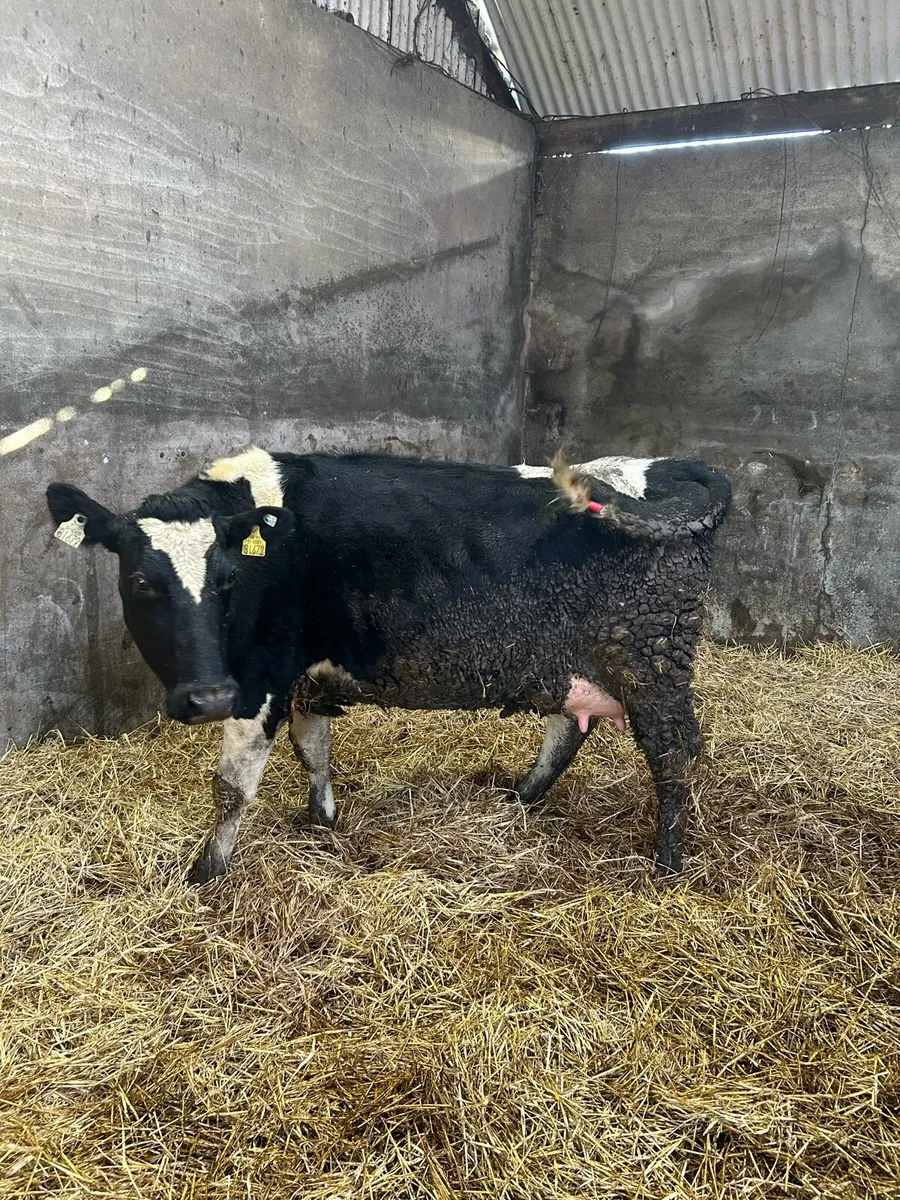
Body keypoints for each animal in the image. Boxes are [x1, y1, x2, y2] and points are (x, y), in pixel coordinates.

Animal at [46, 446, 731, 884]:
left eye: (228, 579)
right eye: (140, 582)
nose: (208, 697)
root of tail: (668, 465)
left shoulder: (262, 676)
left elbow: (231, 785)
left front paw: (205, 873)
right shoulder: (305, 678)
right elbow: (312, 747)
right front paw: (322, 820)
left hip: (653, 661)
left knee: (674, 754)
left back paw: (666, 866)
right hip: (573, 659)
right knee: (567, 730)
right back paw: (519, 799)